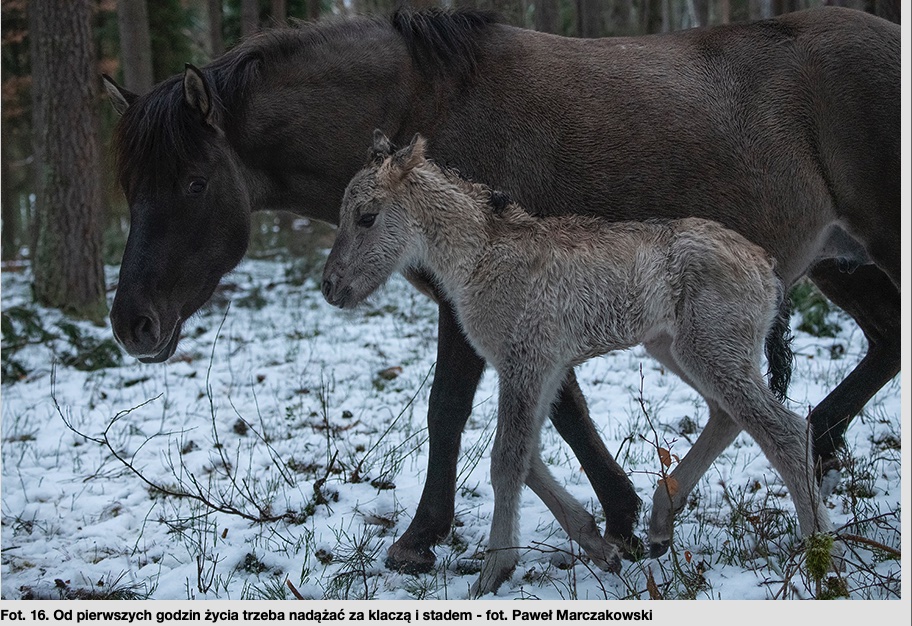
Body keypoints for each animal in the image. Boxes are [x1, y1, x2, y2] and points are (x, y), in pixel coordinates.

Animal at [103, 6, 900, 572]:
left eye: (194, 183)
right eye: (130, 188)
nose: (132, 324)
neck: (427, 101)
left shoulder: (485, 313)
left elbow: (451, 412)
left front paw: (422, 539)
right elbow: (561, 414)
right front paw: (615, 521)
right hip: (834, 266)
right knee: (874, 351)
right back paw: (803, 457)